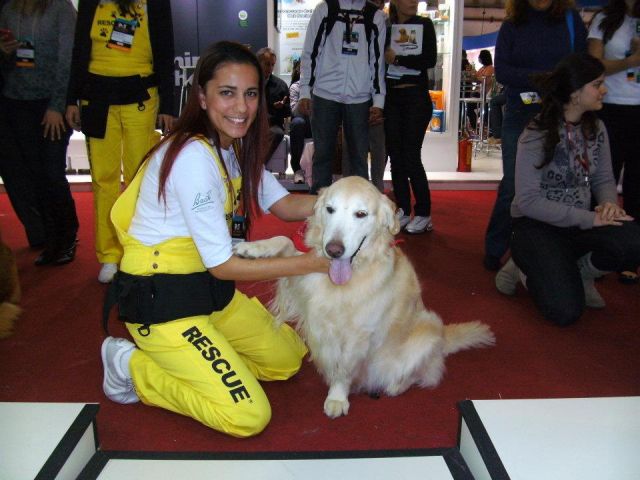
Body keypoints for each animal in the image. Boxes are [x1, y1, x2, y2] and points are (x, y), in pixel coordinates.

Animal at [235, 177, 494, 418]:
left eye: (361, 214)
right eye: (330, 209)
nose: (333, 250)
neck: (348, 276)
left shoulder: (358, 334)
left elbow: (343, 370)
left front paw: (337, 398)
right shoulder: (302, 282)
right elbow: (285, 240)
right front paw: (252, 249)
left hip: (428, 327)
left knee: (420, 374)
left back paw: (395, 385)